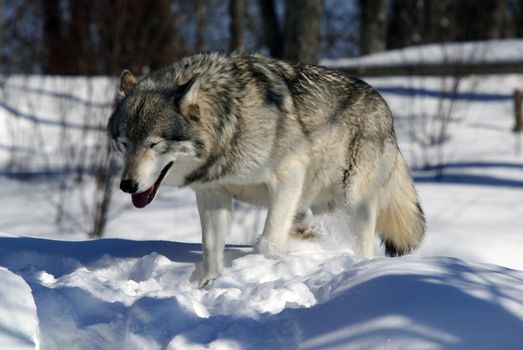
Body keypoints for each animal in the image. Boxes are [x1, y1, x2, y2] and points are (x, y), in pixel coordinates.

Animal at [106, 52, 426, 288]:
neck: (230, 121)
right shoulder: (212, 194)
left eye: (153, 144)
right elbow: (210, 248)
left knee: (364, 249)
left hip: (355, 204)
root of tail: (384, 106)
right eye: (124, 143)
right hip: (328, 203)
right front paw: (207, 285)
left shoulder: (288, 177)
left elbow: (268, 241)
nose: (127, 185)